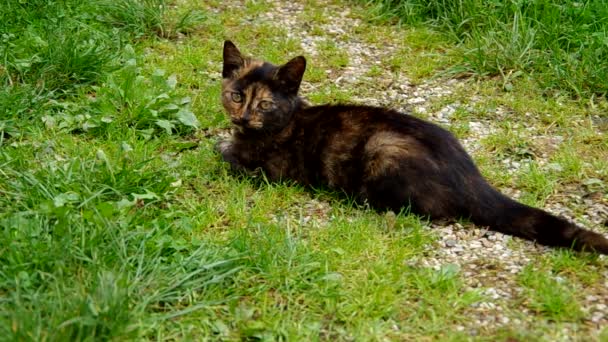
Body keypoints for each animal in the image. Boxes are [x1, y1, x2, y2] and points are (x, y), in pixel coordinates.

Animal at [216, 40, 608, 254]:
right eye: (236, 96)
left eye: (265, 105)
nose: (244, 117)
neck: (287, 119)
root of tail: (472, 177)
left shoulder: (267, 171)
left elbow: (224, 158)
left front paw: (221, 148)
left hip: (384, 149)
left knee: (437, 212)